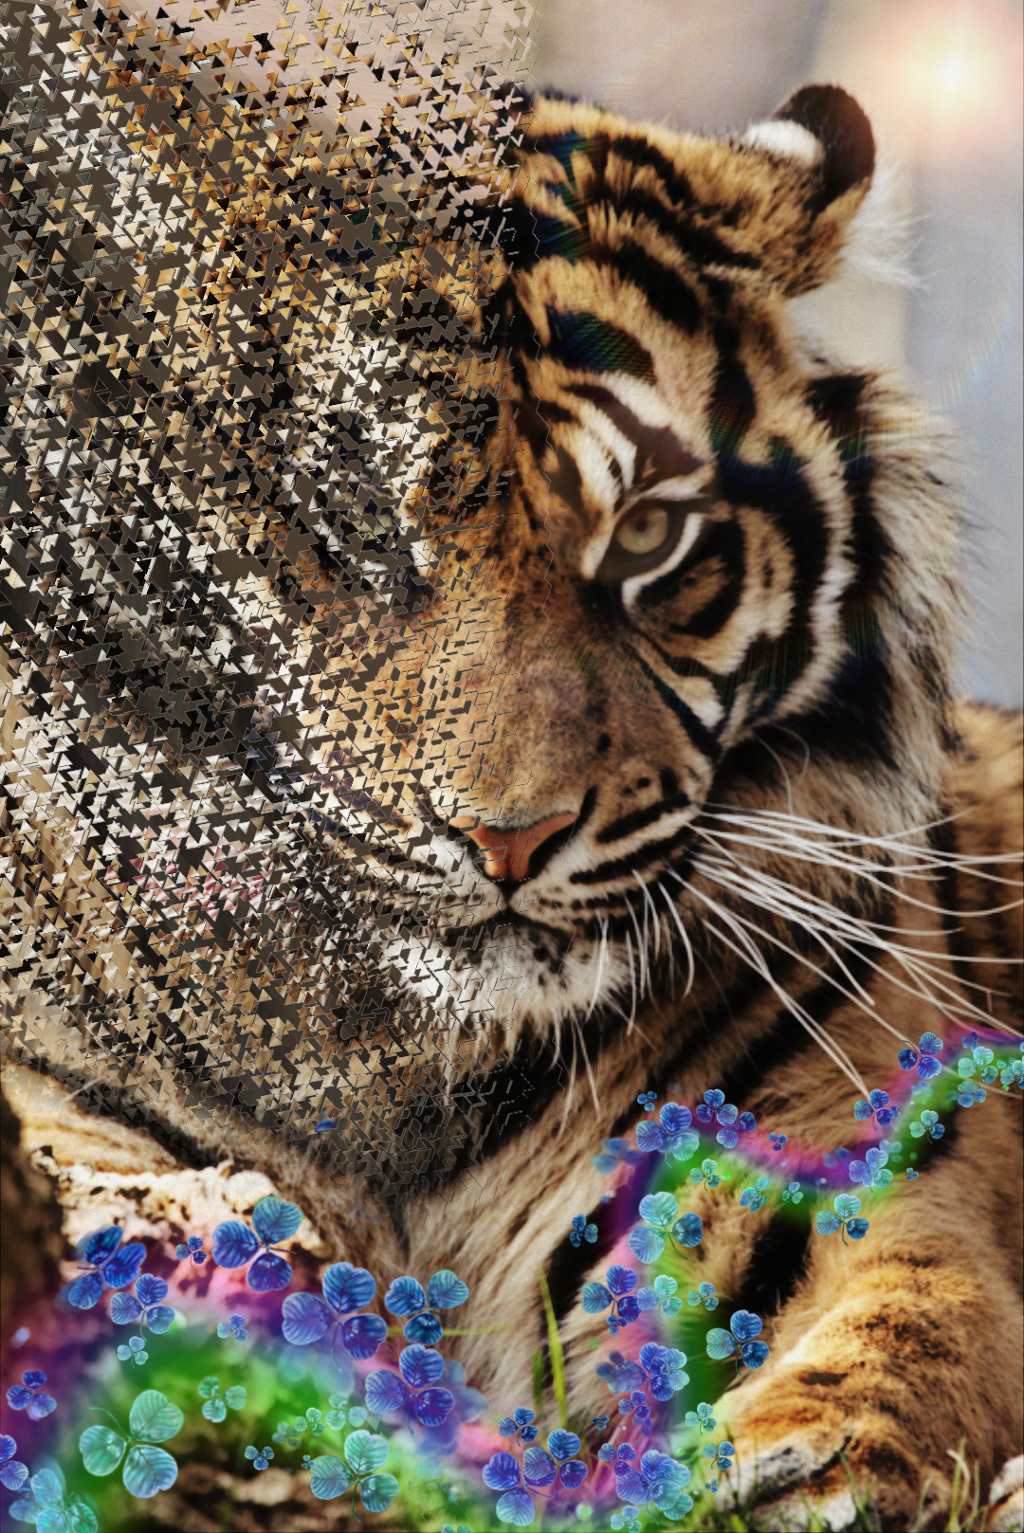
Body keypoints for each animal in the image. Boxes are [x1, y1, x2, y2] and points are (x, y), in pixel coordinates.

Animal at [1, 0, 1022, 1523]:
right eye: (352, 519)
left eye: (650, 535)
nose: (509, 839)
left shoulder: (865, 1131)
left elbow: (910, 1305)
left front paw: (798, 1465)